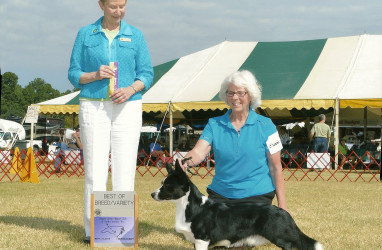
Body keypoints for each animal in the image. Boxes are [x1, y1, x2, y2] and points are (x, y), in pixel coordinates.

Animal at [151, 159, 324, 249]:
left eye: (167, 186)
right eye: (161, 183)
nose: (152, 194)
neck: (188, 207)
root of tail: (285, 213)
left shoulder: (202, 239)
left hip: (281, 239)